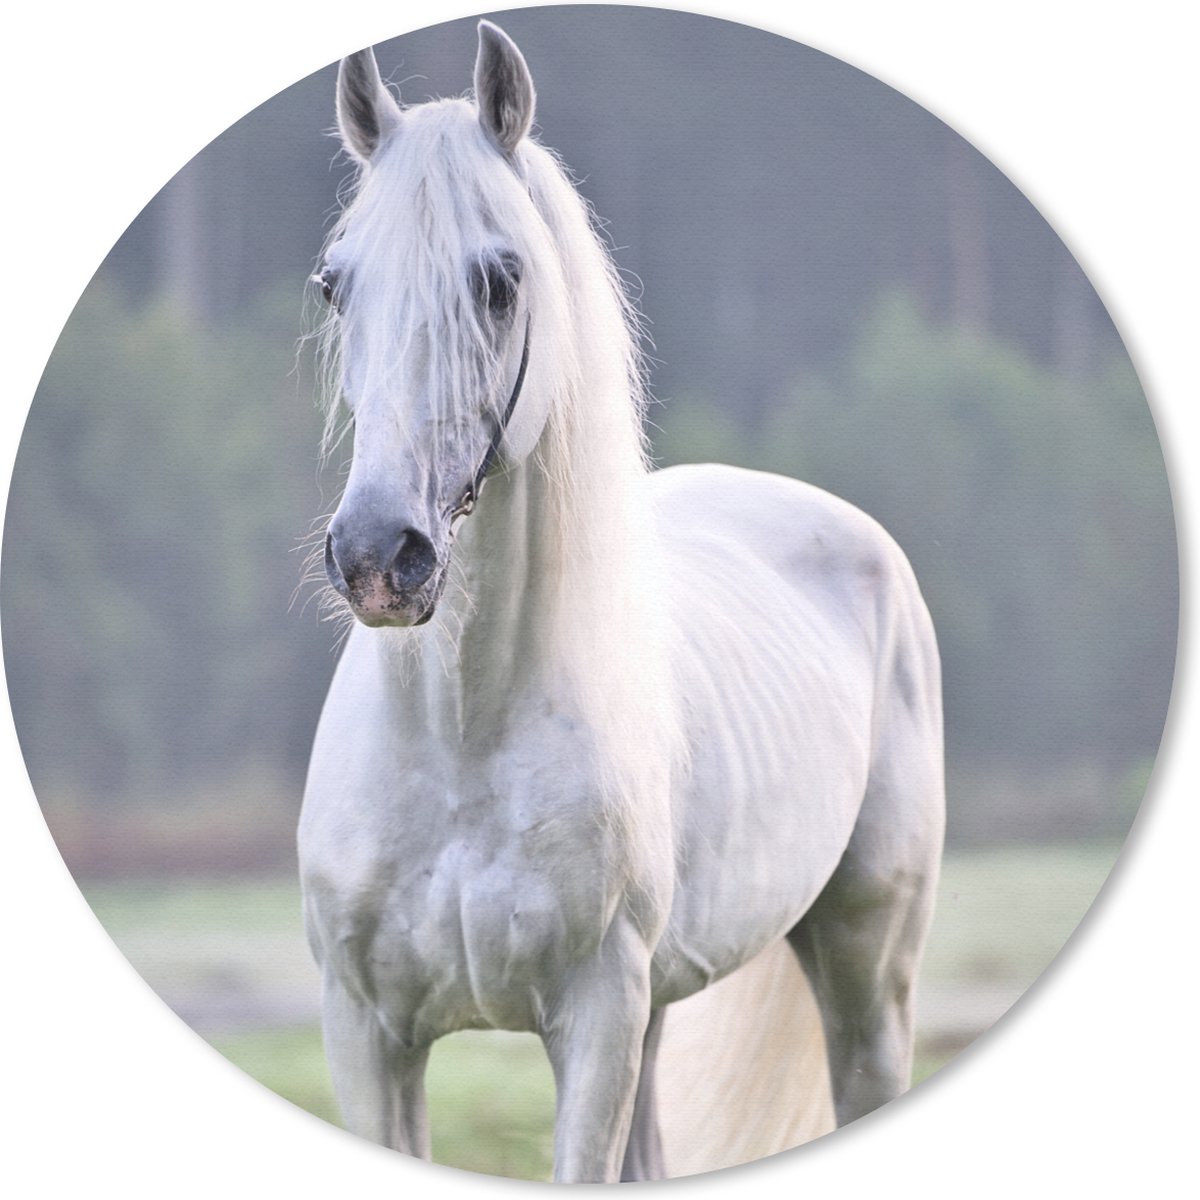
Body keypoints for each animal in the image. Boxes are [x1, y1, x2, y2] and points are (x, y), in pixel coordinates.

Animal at [298, 21, 944, 1183]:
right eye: (336, 285)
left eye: (500, 279)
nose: (379, 557)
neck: (461, 741)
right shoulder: (367, 1035)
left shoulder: (594, 1022)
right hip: (659, 1010)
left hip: (865, 982)